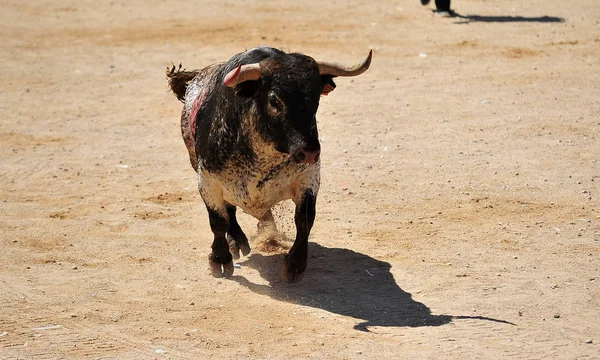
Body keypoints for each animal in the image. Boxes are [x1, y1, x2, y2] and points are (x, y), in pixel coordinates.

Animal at [165, 47, 370, 284]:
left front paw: (295, 265)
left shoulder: (308, 177)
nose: (309, 151)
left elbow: (304, 219)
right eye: (274, 100)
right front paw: (220, 260)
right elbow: (218, 220)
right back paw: (237, 242)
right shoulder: (207, 180)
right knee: (229, 210)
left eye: (315, 98)